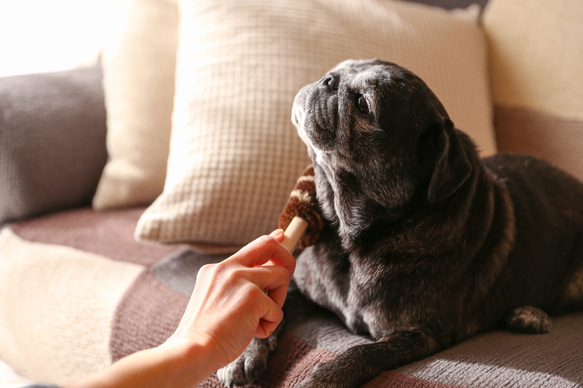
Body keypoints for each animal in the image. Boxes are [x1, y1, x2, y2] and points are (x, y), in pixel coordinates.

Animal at [218, 58, 583, 388]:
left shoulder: (419, 334)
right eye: (343, 67)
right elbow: (267, 308)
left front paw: (323, 378)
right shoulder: (297, 287)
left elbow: (363, 354)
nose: (328, 79)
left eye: (363, 105)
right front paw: (243, 352)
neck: (354, 238)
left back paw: (531, 315)